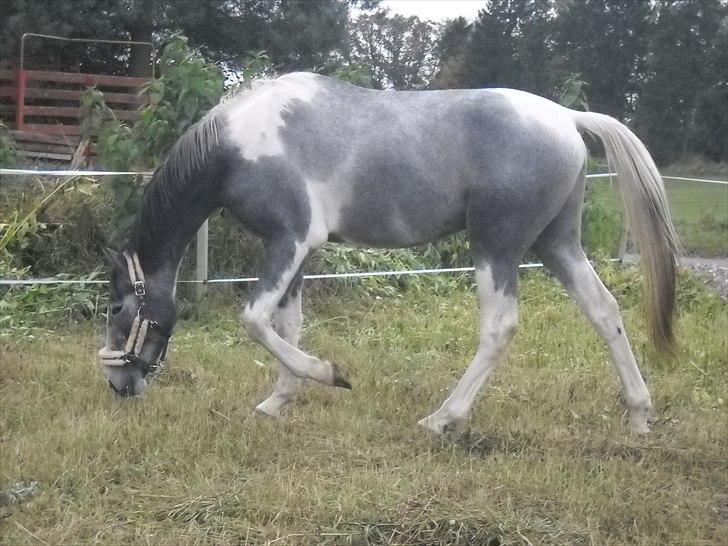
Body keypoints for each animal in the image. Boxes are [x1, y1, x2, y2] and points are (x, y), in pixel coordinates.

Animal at [96, 72, 676, 434]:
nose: (118, 385)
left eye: (118, 310)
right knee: (604, 311)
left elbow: (256, 320)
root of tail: (566, 118)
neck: (240, 142)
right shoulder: (293, 252)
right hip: (556, 245)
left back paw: (443, 419)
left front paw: (331, 375)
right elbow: (287, 325)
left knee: (500, 327)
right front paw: (278, 402)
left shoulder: (290, 239)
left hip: (497, 246)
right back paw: (639, 416)